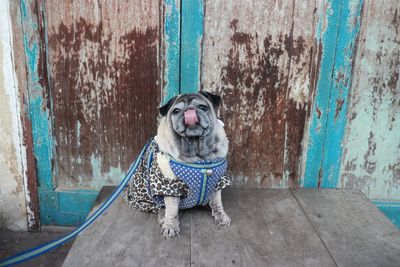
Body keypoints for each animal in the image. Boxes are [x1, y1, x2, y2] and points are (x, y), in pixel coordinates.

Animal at [125, 91, 231, 239]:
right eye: (176, 111)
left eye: (202, 107)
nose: (189, 111)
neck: (198, 154)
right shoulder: (170, 186)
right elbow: (172, 210)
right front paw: (170, 226)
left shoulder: (218, 182)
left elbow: (217, 202)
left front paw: (221, 216)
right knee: (160, 207)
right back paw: (163, 217)